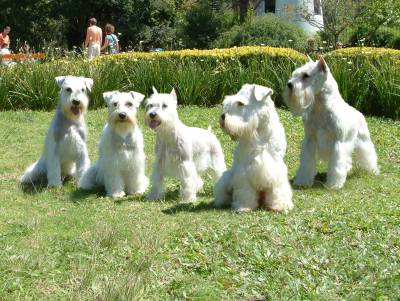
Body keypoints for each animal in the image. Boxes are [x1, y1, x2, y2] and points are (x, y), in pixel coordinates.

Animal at [212, 83, 294, 212]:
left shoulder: (276, 167)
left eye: (240, 103)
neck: (259, 133)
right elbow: (245, 190)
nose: (222, 117)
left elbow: (277, 189)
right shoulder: (244, 171)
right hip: (226, 178)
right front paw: (244, 207)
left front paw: (279, 205)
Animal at [282, 56, 380, 188]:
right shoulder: (310, 141)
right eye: (295, 73)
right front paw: (302, 181)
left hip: (363, 140)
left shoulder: (338, 143)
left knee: (368, 153)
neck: (320, 107)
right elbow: (306, 163)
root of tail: (359, 113)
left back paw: (372, 170)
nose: (289, 84)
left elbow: (336, 166)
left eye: (306, 75)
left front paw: (334, 184)